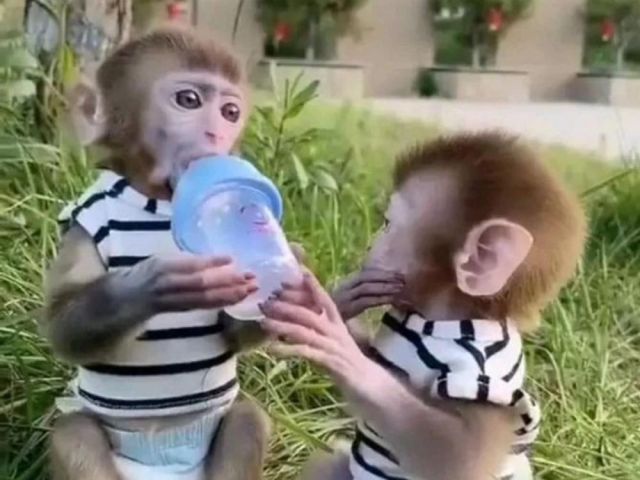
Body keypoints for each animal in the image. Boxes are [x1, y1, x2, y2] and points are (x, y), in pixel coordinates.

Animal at [41, 26, 291, 480]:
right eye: (188, 101)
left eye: (230, 112)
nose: (215, 135)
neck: (157, 200)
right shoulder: (83, 222)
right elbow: (63, 324)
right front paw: (154, 284)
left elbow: (232, 333)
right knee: (74, 434)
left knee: (247, 419)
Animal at [259, 132, 587, 480]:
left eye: (387, 223)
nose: (370, 246)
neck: (441, 318)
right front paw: (343, 299)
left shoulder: (483, 375)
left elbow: (458, 456)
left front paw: (336, 344)